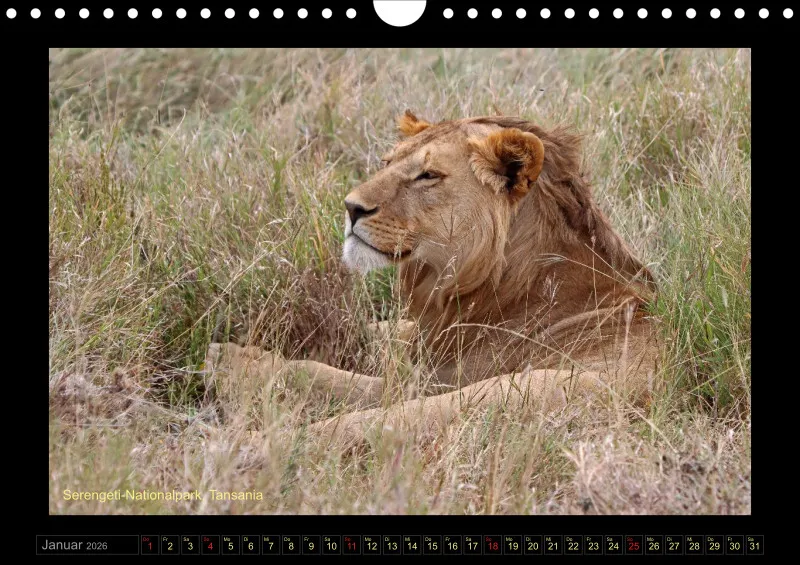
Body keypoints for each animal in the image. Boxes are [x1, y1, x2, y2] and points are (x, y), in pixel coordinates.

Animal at [206, 111, 659, 448]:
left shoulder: (437, 371)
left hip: (517, 388)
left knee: (377, 415)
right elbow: (370, 329)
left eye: (427, 175)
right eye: (387, 163)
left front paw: (234, 356)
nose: (351, 208)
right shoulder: (424, 337)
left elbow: (330, 372)